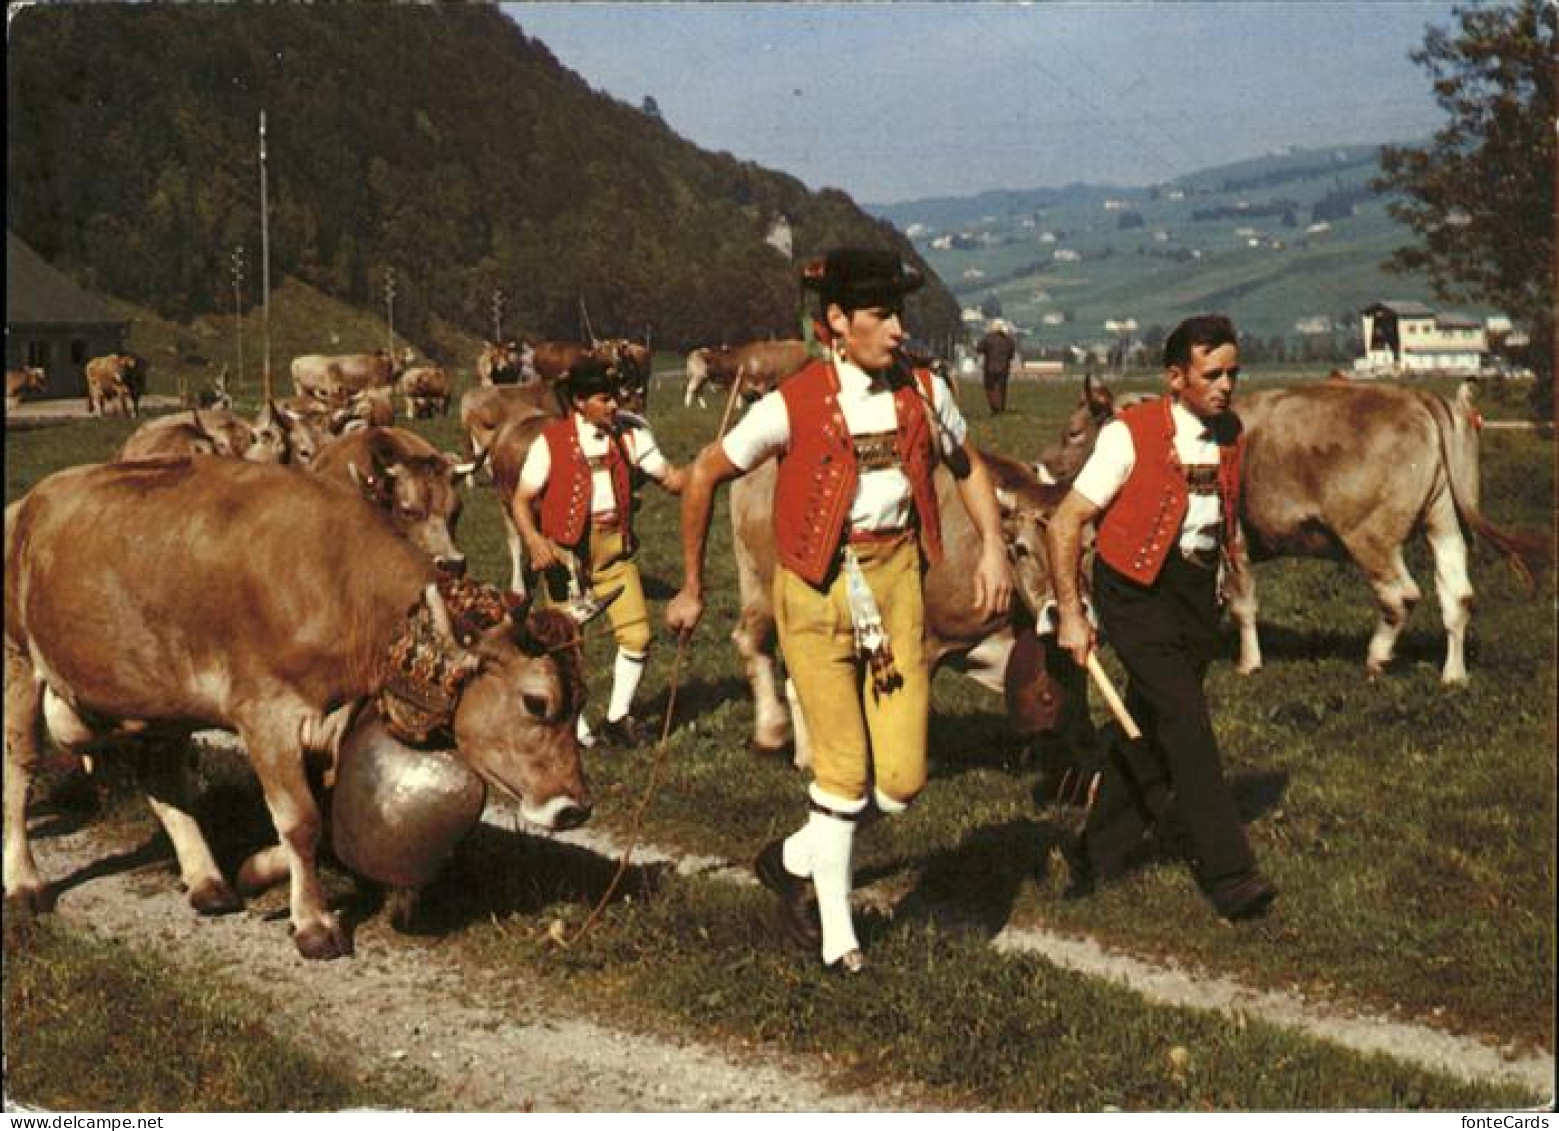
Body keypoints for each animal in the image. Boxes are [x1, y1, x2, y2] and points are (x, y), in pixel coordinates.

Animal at [4, 455, 595, 954]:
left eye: (582, 701)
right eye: (536, 702)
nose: (575, 808)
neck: (341, 588)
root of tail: (27, 501)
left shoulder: (331, 723)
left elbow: (320, 821)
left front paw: (253, 872)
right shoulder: (266, 714)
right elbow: (302, 821)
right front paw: (312, 923)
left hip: (158, 694)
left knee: (162, 777)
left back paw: (208, 881)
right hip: (18, 660)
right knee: (20, 770)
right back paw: (24, 882)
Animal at [682, 336, 810, 408]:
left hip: (700, 378)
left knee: (697, 390)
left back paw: (700, 406)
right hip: (698, 376)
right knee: (692, 388)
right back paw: (688, 406)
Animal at [726, 446, 1085, 764]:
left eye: (1086, 546)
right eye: (1022, 548)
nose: (1061, 611)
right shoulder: (923, 640)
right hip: (767, 592)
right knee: (753, 643)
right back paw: (775, 733)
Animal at [1035, 377, 1546, 680]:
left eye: (1074, 432)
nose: (1041, 467)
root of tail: (1418, 397)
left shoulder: (1234, 542)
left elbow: (1242, 605)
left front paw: (1248, 663)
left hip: (1371, 538)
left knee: (1400, 596)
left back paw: (1378, 657)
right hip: (1445, 524)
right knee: (1457, 595)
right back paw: (1452, 674)